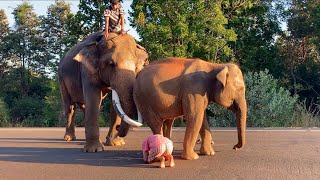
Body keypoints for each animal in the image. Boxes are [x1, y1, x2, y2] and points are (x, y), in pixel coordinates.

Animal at [114, 57, 246, 160]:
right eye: (240, 89)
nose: (234, 147)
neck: (215, 66)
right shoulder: (193, 89)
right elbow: (194, 117)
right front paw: (193, 157)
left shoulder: (201, 92)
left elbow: (201, 118)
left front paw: (209, 153)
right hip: (144, 100)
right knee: (156, 124)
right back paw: (161, 154)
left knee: (166, 122)